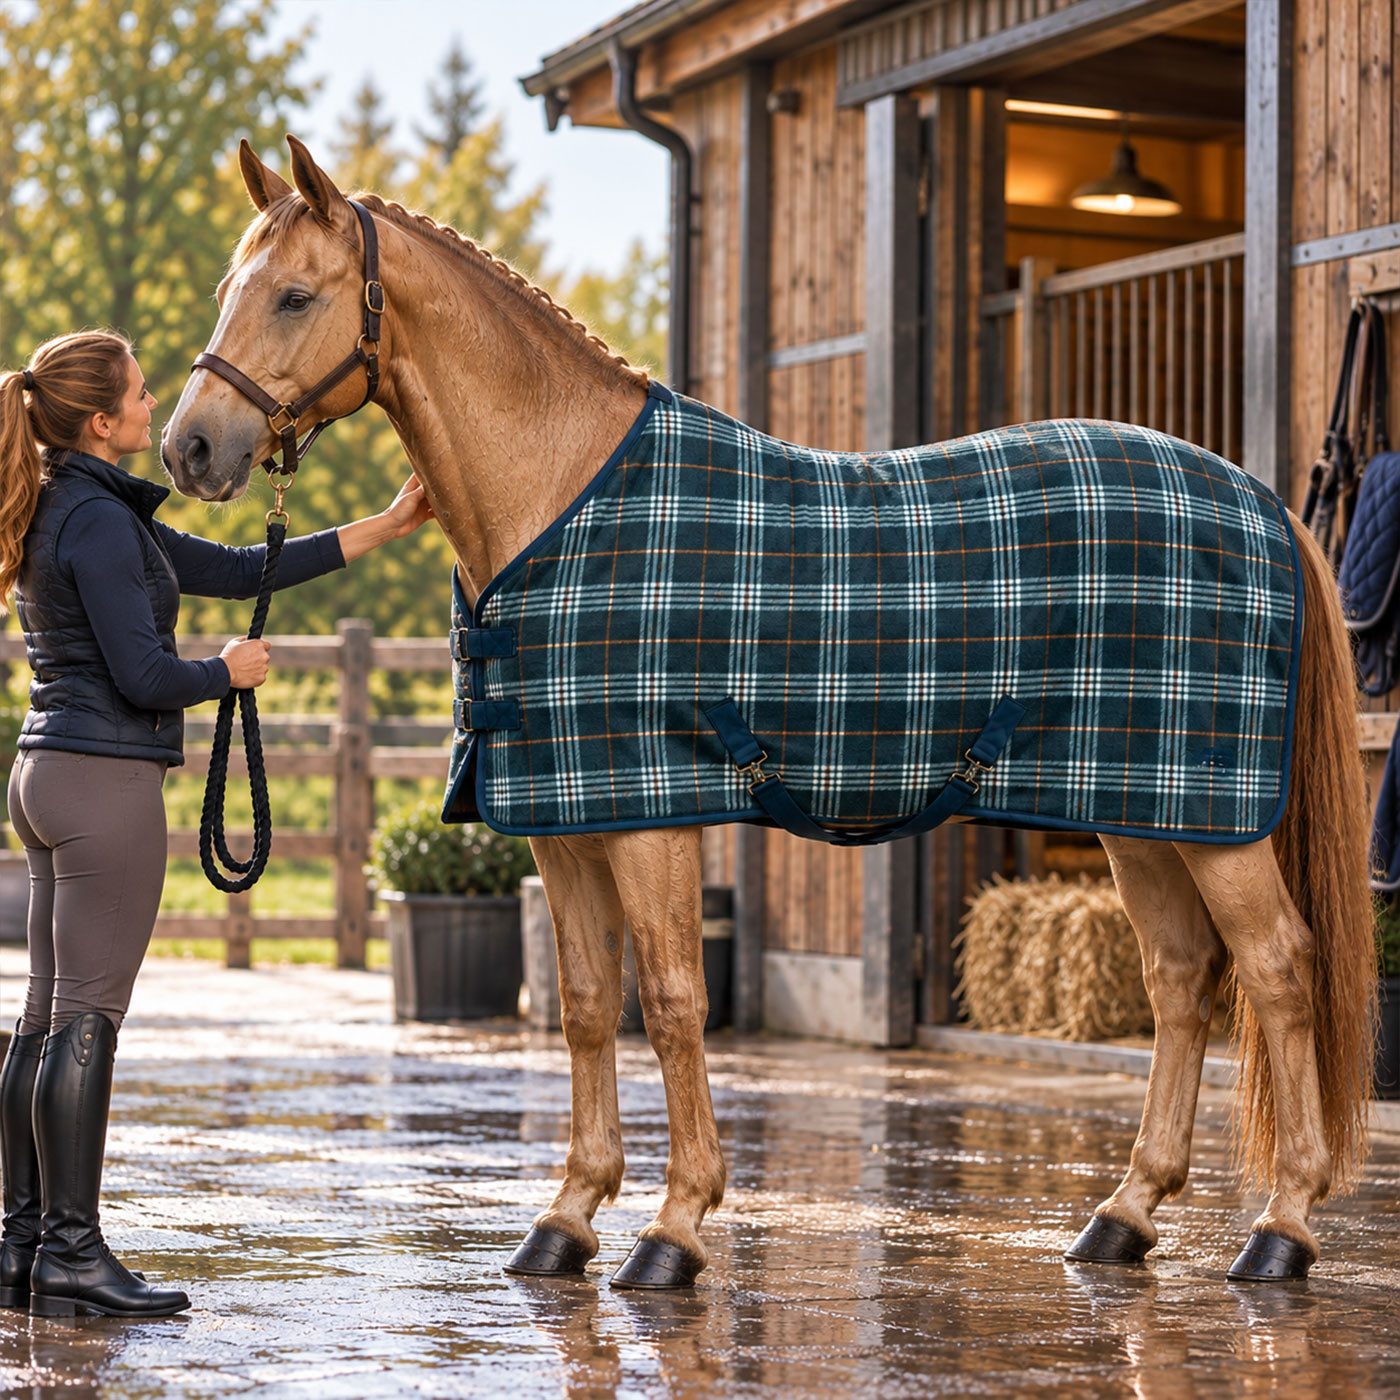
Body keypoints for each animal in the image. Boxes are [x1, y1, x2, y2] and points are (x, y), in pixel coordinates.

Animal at [161, 136, 1377, 1290]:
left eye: (293, 296)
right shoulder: (561, 825)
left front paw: (674, 1227)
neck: (564, 501)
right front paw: (566, 1217)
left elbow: (670, 998)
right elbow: (588, 1003)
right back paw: (1124, 1214)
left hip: (1213, 822)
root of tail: (1260, 502)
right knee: (1179, 978)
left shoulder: (649, 816)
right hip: (1144, 813)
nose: (191, 449)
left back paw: (1281, 1224)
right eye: (228, 287)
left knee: (1277, 967)